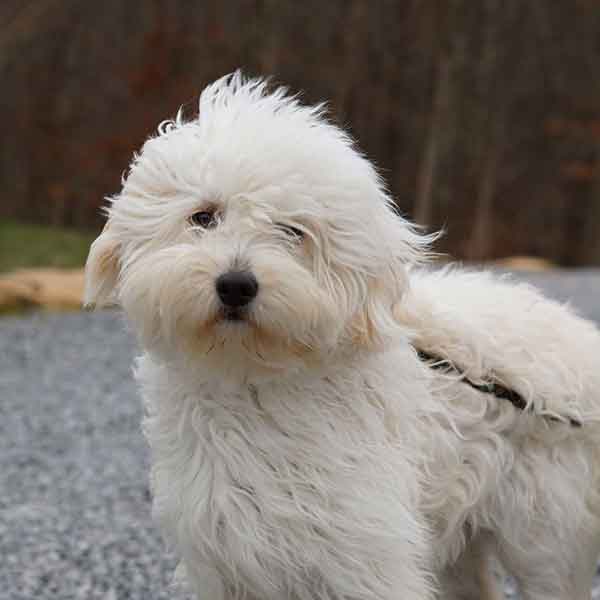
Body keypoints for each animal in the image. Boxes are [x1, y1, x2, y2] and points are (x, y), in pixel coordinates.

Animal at [83, 72, 600, 596]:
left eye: (293, 231)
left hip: (546, 543)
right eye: (204, 216)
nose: (235, 285)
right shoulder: (224, 555)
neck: (254, 385)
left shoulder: (363, 554)